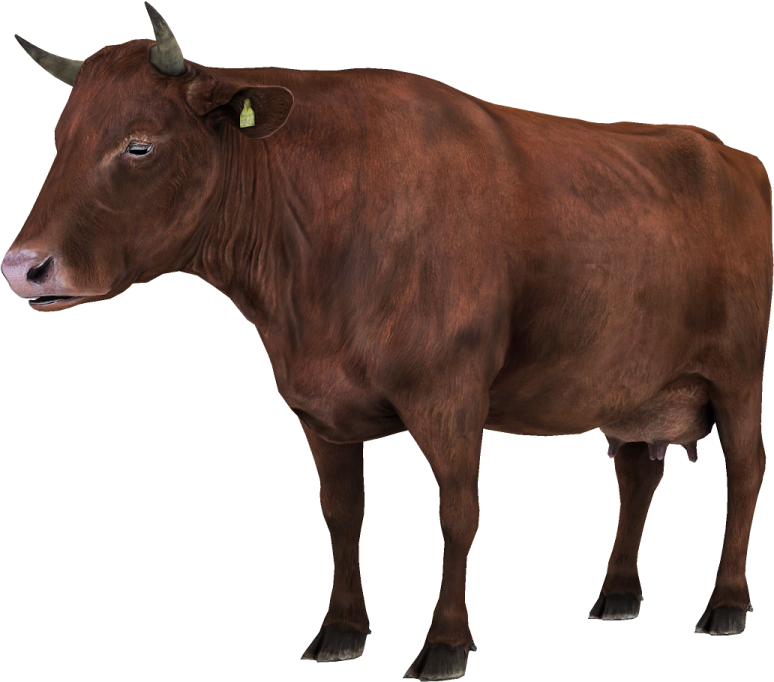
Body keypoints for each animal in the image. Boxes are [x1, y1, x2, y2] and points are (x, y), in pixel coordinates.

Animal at [4, 2, 772, 679]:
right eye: (60, 141)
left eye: (139, 144)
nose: (22, 267)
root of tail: (721, 149)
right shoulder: (317, 408)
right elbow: (342, 515)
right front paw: (340, 631)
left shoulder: (449, 395)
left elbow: (459, 513)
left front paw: (446, 643)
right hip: (634, 386)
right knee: (638, 472)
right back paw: (616, 594)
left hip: (738, 375)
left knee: (746, 471)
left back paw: (727, 604)